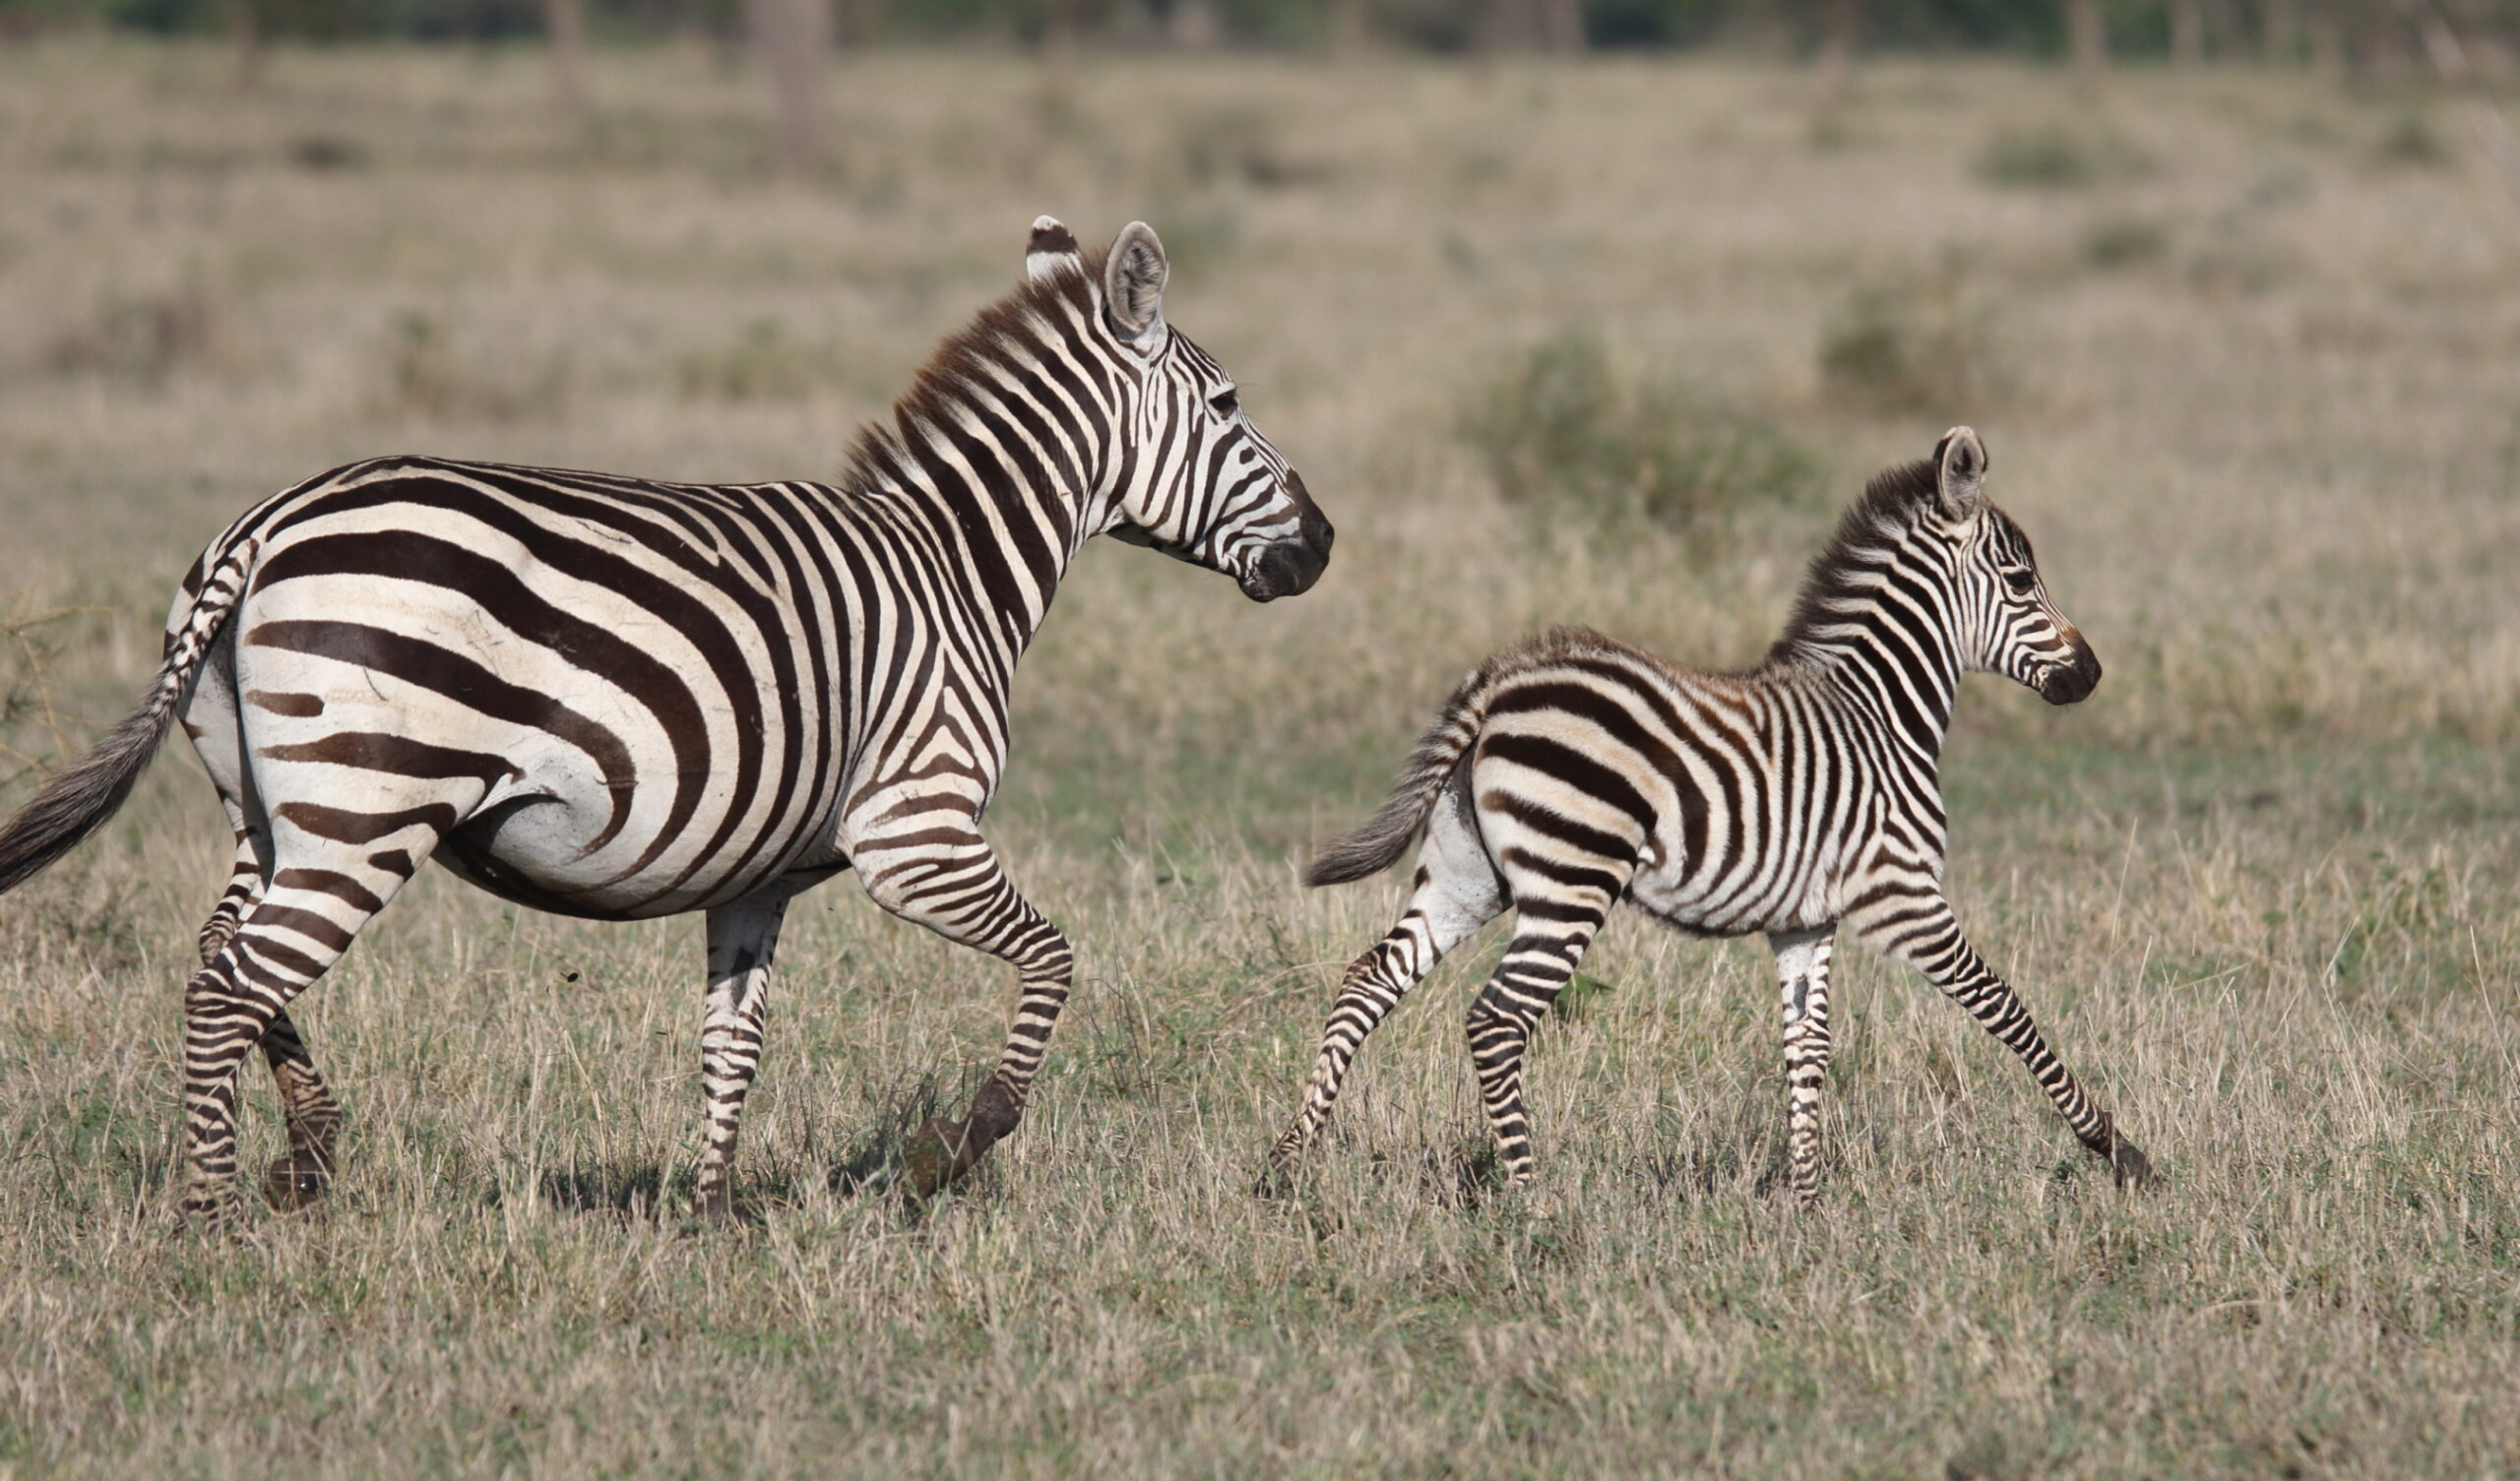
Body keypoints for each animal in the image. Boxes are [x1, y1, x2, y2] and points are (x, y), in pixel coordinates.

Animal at [0, 214, 1340, 1218]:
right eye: (1228, 406)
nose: (1324, 544)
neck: (956, 565)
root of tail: (265, 524)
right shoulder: (916, 832)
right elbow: (1056, 954)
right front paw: (954, 1147)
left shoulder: (757, 876)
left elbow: (732, 1039)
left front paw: (708, 1210)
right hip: (369, 803)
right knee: (229, 985)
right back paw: (212, 1214)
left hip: (278, 803)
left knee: (218, 958)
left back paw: (308, 1156)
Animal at [1280, 423, 2147, 1199]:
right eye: (2022, 579)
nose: (2093, 674)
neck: (1879, 710)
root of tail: (1501, 680)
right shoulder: (1900, 893)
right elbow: (2006, 1006)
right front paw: (2116, 1149)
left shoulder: (1806, 916)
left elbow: (1808, 1046)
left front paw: (1805, 1198)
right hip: (1570, 878)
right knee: (1497, 1020)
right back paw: (1531, 1198)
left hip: (1469, 872)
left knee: (1367, 979)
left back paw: (1285, 1163)